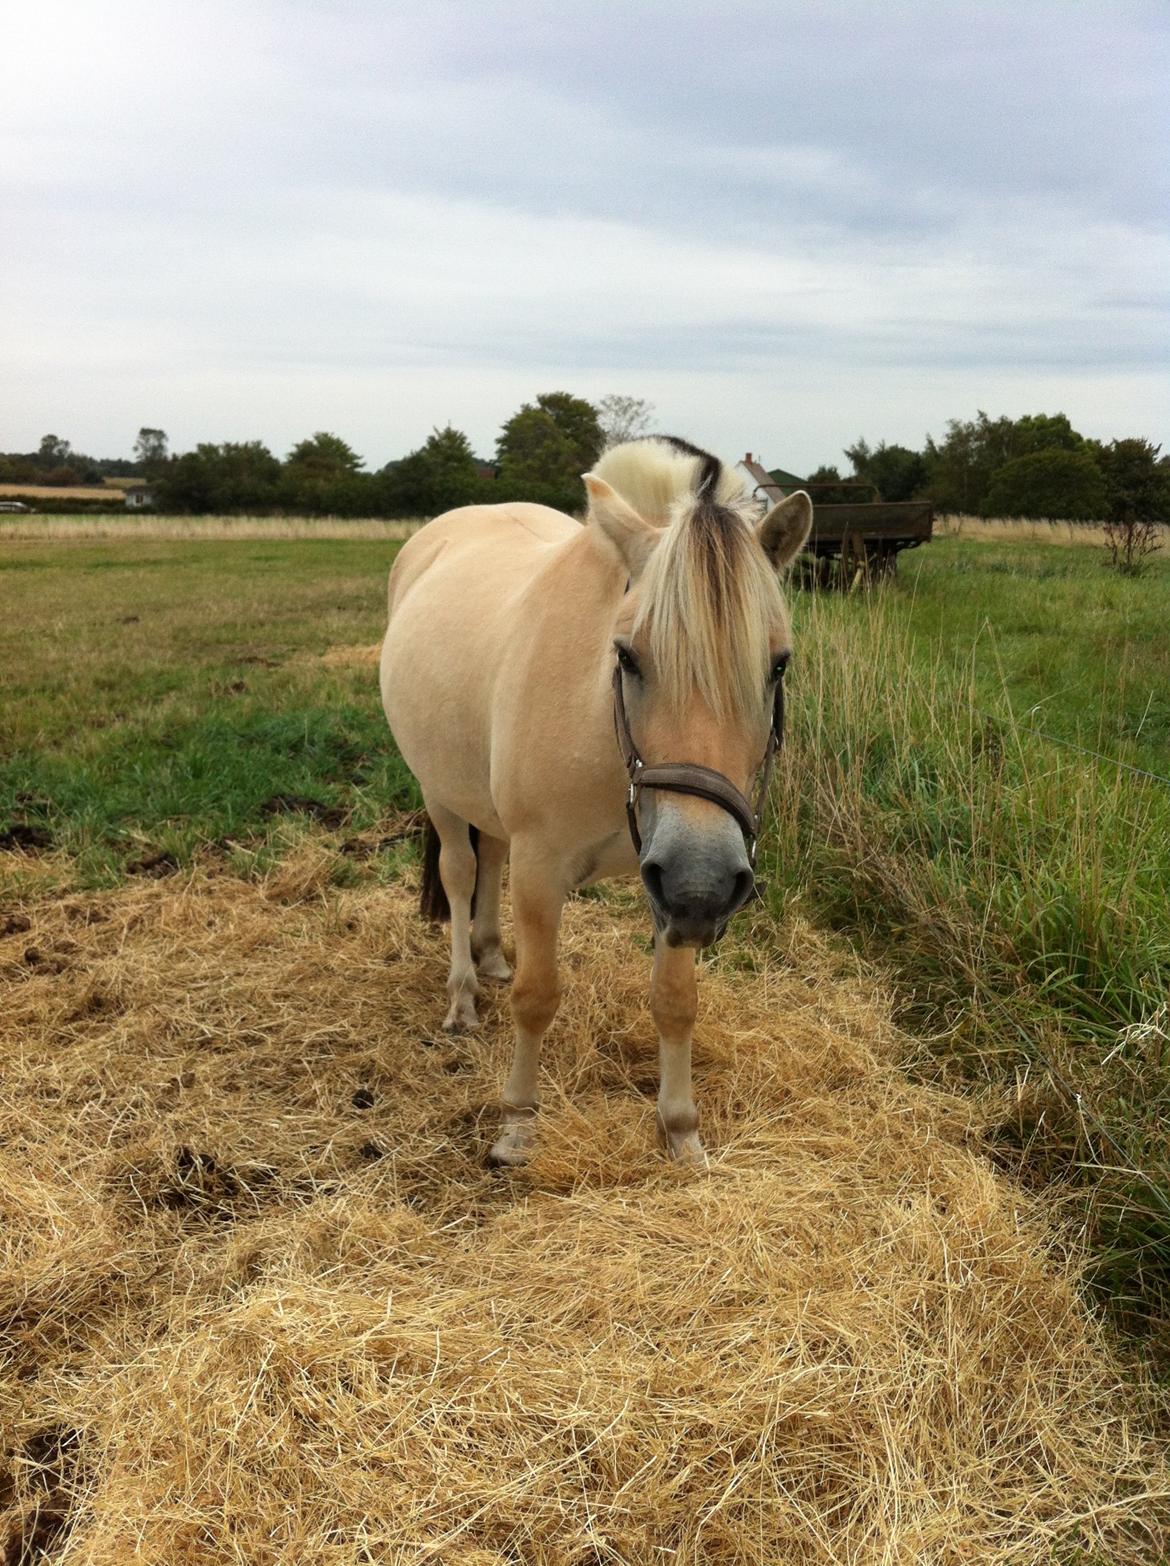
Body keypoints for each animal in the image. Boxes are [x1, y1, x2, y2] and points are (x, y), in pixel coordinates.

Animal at [380, 435, 808, 1171]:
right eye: (628, 657)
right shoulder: (544, 868)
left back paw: (492, 957)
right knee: (460, 874)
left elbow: (675, 1000)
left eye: (777, 664)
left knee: (490, 859)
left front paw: (681, 1130)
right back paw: (463, 996)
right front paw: (517, 1125)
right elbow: (537, 996)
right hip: (440, 793)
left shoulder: (673, 887)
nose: (704, 881)